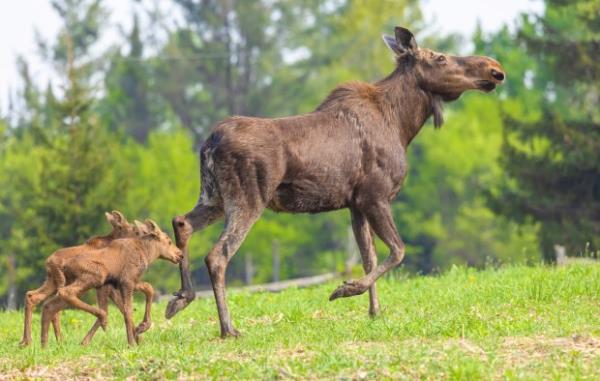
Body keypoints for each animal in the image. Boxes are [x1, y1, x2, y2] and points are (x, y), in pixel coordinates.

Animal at [40, 218, 182, 346]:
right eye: (169, 241)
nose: (180, 255)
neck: (147, 254)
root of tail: (65, 266)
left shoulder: (127, 281)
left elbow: (149, 288)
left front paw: (142, 327)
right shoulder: (126, 281)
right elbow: (128, 310)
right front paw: (132, 342)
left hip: (78, 283)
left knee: (49, 305)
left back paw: (44, 346)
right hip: (95, 277)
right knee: (66, 294)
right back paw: (102, 318)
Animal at [166, 26, 504, 336]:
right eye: (440, 58)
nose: (494, 68)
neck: (403, 124)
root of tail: (209, 143)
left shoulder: (355, 204)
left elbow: (369, 258)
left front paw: (374, 312)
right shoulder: (375, 196)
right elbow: (397, 250)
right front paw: (345, 289)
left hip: (214, 196)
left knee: (182, 222)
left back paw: (181, 298)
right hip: (248, 198)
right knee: (217, 254)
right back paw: (227, 328)